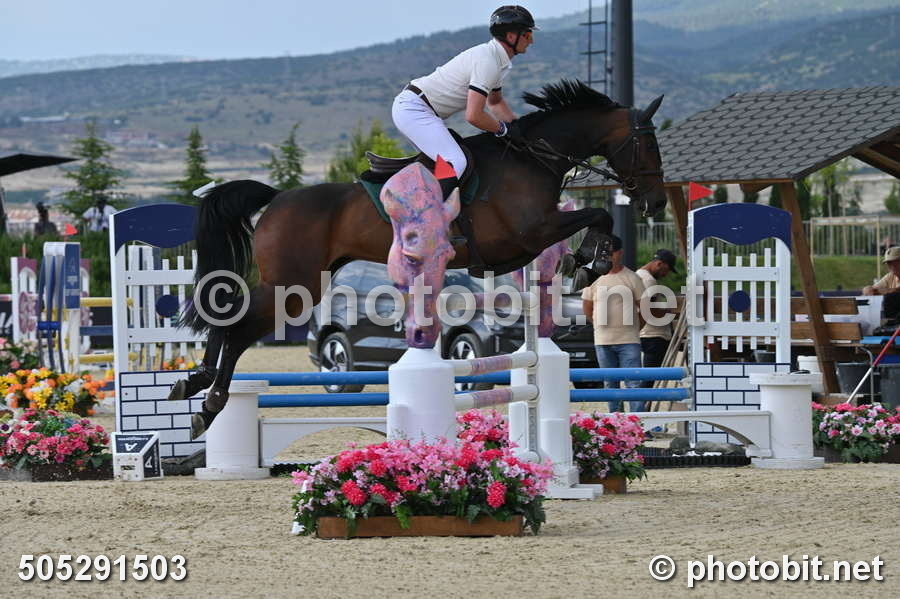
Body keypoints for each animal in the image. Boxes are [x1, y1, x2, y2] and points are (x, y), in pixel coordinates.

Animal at [169, 79, 668, 439]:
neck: (532, 160)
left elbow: (598, 218)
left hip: (298, 281)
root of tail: (276, 198)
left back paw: (196, 384)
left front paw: (586, 261)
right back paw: (207, 402)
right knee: (236, 324)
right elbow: (599, 213)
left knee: (229, 318)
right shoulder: (530, 233)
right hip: (294, 287)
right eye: (647, 144)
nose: (656, 202)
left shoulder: (527, 244)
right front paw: (590, 259)